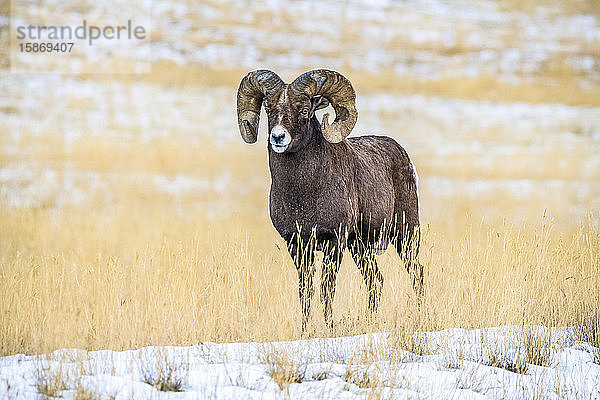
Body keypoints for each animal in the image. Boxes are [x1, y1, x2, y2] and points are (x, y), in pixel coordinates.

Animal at [236, 69, 422, 332]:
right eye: (269, 108)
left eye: (304, 110)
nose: (278, 137)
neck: (303, 196)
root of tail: (403, 154)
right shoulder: (297, 245)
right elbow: (305, 290)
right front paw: (305, 330)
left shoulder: (334, 242)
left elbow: (327, 288)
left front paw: (329, 327)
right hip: (360, 247)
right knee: (375, 280)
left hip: (405, 234)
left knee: (416, 273)